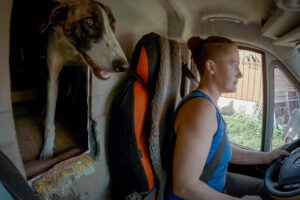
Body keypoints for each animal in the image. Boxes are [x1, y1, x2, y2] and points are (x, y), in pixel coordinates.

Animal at [39, 0, 128, 159]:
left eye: (113, 25)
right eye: (89, 21)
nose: (124, 66)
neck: (72, 48)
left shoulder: (85, 74)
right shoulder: (53, 77)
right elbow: (50, 119)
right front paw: (47, 151)